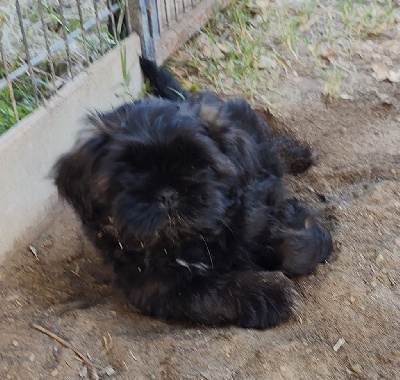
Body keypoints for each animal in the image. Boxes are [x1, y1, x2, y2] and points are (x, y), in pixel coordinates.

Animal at [54, 58, 332, 328]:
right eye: (129, 172)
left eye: (197, 163)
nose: (167, 194)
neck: (186, 241)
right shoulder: (159, 287)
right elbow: (211, 292)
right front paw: (270, 294)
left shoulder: (252, 214)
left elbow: (288, 246)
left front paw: (307, 232)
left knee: (269, 144)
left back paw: (297, 155)